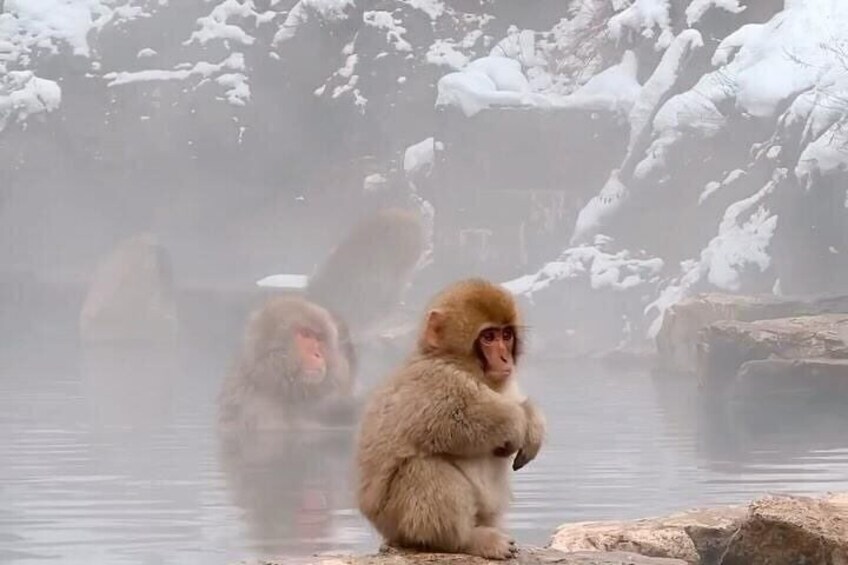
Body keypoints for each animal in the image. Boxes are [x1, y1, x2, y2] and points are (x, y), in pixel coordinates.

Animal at [355, 278, 546, 560]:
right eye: (488, 337)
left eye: (506, 335)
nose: (505, 358)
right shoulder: (433, 381)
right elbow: (451, 422)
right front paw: (517, 422)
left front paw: (532, 422)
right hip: (396, 520)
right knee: (425, 468)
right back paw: (466, 540)